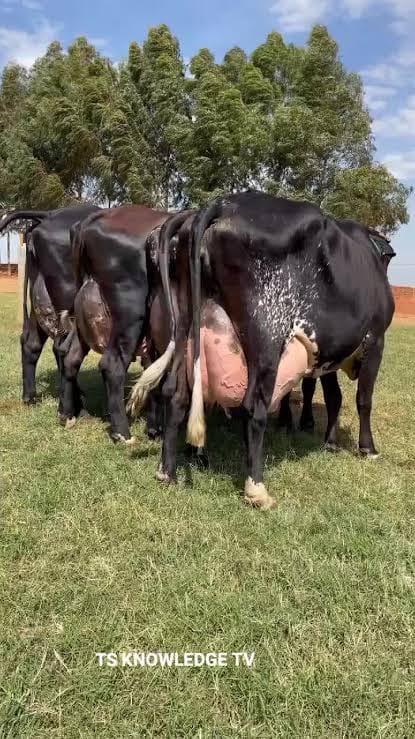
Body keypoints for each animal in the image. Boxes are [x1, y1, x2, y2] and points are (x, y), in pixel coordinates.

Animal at [0, 205, 100, 419]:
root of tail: (50, 214)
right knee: (64, 349)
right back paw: (76, 408)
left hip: (41, 300)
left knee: (32, 343)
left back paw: (31, 398)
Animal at [129, 191, 394, 509]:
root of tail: (221, 204)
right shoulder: (376, 339)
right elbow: (363, 400)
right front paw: (368, 448)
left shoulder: (326, 350)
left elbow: (334, 397)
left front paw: (330, 442)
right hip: (267, 336)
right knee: (253, 407)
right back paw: (256, 488)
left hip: (183, 330)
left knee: (175, 393)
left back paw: (166, 471)